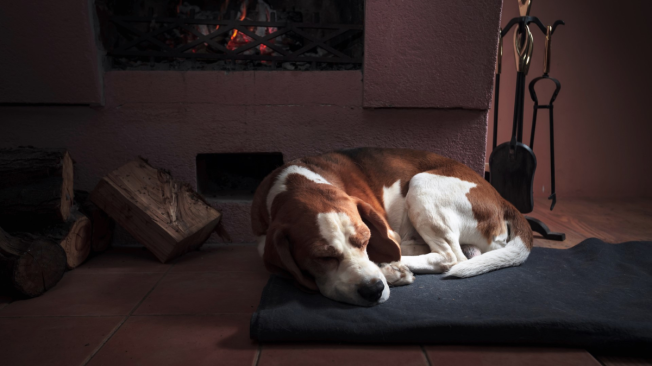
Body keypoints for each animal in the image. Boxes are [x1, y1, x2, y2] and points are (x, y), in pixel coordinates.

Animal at [252, 148, 532, 306]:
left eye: (365, 240)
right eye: (322, 257)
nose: (373, 290)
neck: (297, 181)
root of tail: (502, 199)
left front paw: (388, 269)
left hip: (421, 184)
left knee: (451, 257)